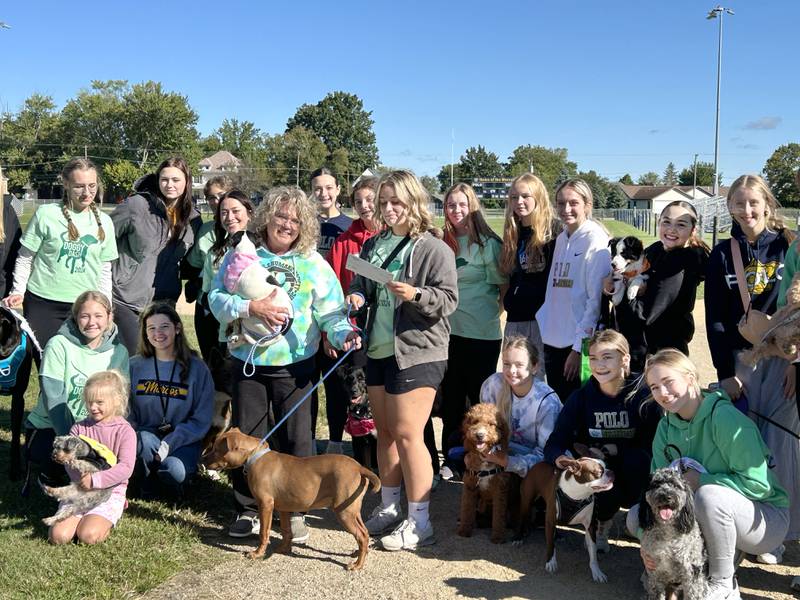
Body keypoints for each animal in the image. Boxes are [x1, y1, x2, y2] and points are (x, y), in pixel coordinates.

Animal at [202, 428, 380, 568]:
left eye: (216, 450)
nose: (202, 459)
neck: (255, 455)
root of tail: (359, 467)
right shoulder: (283, 508)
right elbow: (286, 531)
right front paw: (283, 549)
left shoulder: (265, 505)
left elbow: (263, 532)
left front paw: (257, 553)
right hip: (352, 509)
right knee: (365, 532)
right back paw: (359, 553)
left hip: (344, 511)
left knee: (361, 535)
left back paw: (357, 565)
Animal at [456, 404, 512, 544]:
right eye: (475, 422)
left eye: (492, 424)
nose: (479, 435)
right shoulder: (470, 486)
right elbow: (467, 508)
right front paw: (464, 530)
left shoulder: (500, 489)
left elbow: (499, 515)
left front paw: (498, 537)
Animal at [516, 448, 616, 584]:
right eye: (598, 472)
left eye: (606, 466)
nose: (611, 472)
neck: (578, 495)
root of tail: (538, 464)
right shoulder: (550, 520)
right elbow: (550, 545)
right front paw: (551, 562)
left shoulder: (590, 526)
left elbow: (593, 553)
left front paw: (597, 572)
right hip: (527, 502)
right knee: (522, 519)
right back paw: (518, 538)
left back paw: (557, 535)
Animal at [636, 468, 708, 600]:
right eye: (656, 484)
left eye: (675, 485)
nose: (666, 496)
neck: (667, 536)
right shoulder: (654, 573)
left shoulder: (691, 574)